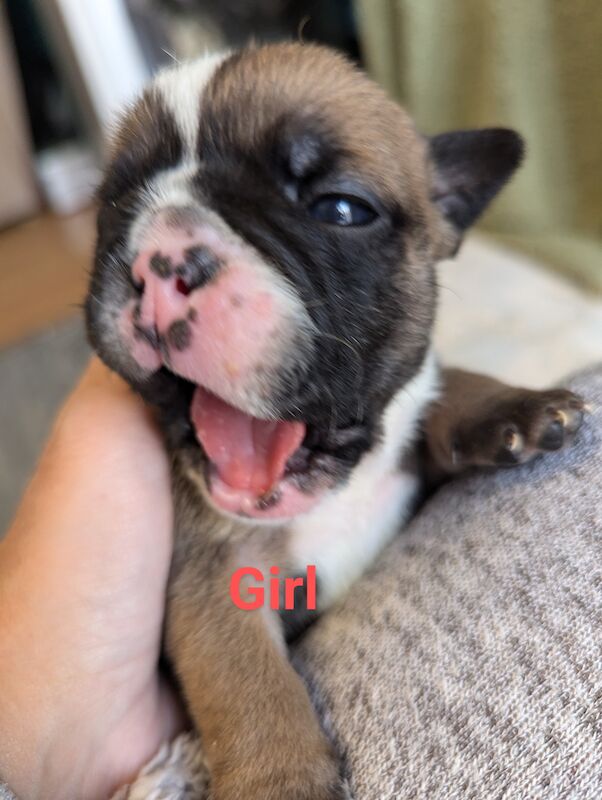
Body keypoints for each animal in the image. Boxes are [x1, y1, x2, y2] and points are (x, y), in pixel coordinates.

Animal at [86, 43, 584, 800]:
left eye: (342, 208)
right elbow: (249, 686)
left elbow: (437, 387)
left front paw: (510, 406)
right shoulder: (209, 579)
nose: (160, 257)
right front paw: (280, 781)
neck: (329, 495)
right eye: (115, 207)